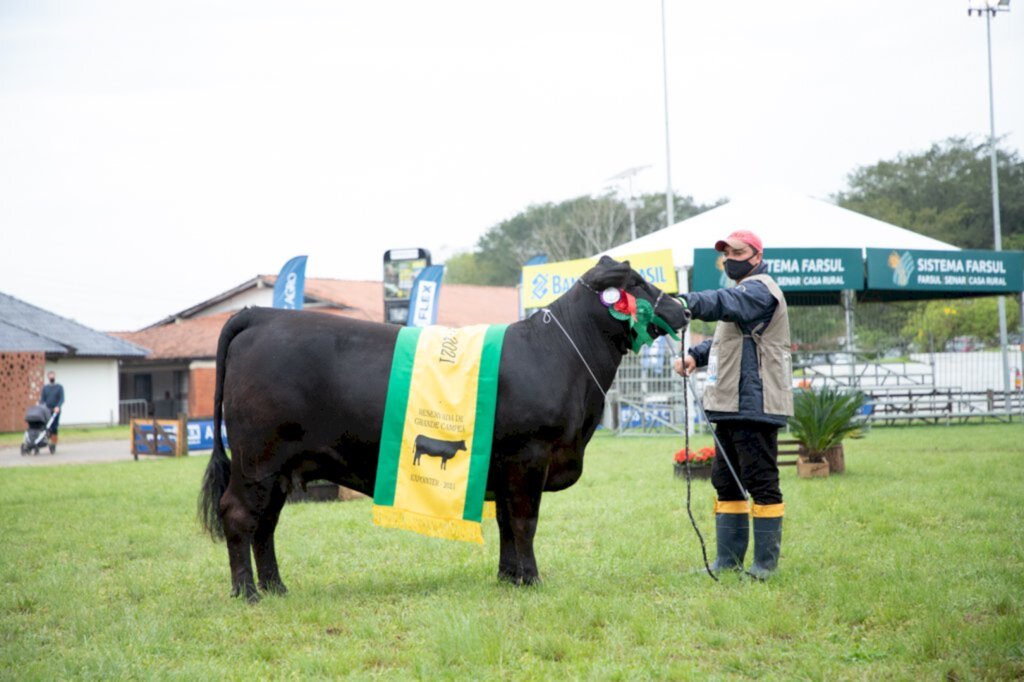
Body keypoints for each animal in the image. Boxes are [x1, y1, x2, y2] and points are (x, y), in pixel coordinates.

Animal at [198, 256, 688, 602]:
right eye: (636, 284)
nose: (681, 308)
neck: (560, 354)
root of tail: (259, 314)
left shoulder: (502, 467)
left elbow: (506, 523)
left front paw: (509, 577)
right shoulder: (529, 456)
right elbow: (525, 521)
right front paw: (532, 578)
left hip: (280, 469)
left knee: (265, 524)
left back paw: (276, 588)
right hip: (256, 460)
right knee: (239, 515)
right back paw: (247, 593)